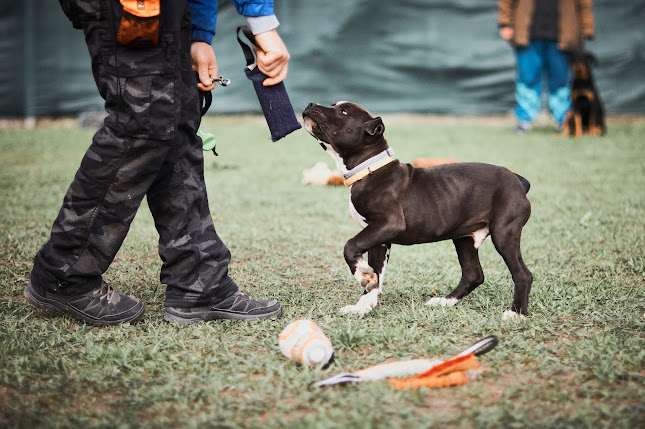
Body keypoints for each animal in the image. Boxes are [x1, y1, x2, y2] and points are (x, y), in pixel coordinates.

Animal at [302, 102, 532, 320]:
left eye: (342, 112)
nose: (310, 104)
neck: (369, 169)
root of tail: (518, 180)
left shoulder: (388, 224)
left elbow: (350, 245)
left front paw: (362, 275)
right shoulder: (378, 238)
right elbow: (375, 276)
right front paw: (363, 304)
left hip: (504, 233)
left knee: (523, 274)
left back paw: (516, 313)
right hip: (464, 237)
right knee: (473, 274)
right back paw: (444, 302)